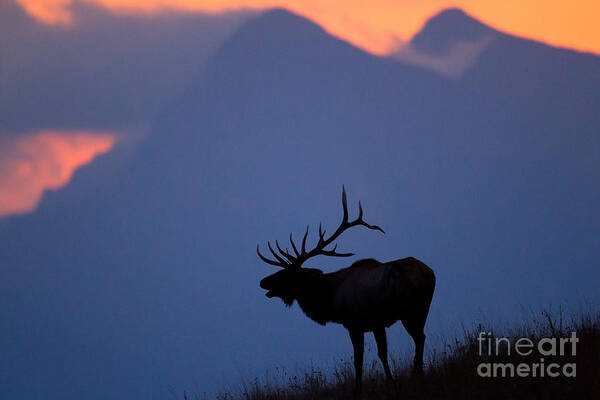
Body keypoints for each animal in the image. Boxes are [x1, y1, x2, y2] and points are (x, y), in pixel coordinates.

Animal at [258, 188, 436, 394]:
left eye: (289, 274)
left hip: (409, 311)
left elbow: (360, 360)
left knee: (419, 338)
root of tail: (428, 273)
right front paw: (391, 382)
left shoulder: (355, 324)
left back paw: (417, 375)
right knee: (421, 337)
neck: (330, 301)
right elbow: (382, 354)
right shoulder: (377, 324)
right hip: (423, 309)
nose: (263, 281)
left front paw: (359, 390)